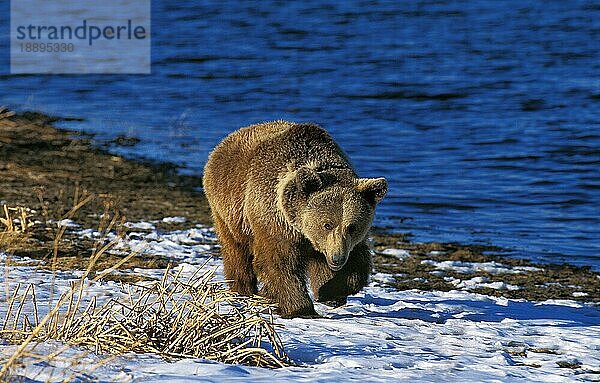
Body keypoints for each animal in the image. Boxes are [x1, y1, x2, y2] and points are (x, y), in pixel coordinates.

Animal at [204, 122, 386, 318]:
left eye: (352, 227)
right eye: (327, 224)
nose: (337, 258)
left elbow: (357, 264)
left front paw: (332, 292)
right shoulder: (275, 221)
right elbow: (279, 263)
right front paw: (300, 308)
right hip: (228, 210)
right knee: (236, 250)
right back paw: (242, 290)